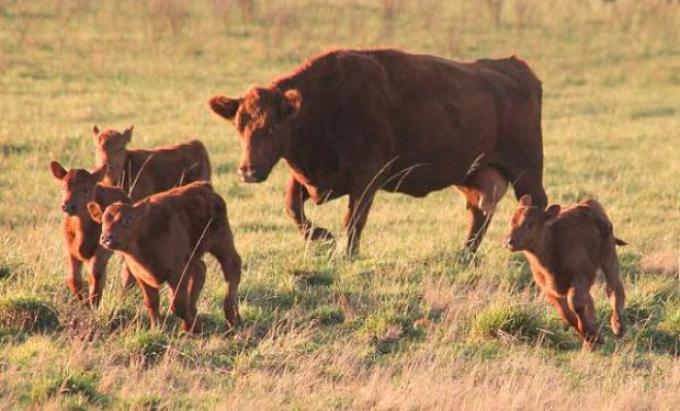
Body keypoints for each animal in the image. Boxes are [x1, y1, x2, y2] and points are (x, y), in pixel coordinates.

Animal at [49, 161, 134, 306]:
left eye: (86, 189)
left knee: (127, 274)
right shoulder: (69, 249)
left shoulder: (102, 248)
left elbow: (95, 273)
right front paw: (83, 300)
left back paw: (122, 298)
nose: (67, 206)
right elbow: (73, 277)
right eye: (63, 187)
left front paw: (93, 302)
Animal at [87, 182, 242, 334]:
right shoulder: (142, 277)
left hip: (221, 243)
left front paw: (193, 328)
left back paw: (232, 318)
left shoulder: (177, 273)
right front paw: (157, 328)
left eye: (128, 219)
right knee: (200, 270)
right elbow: (152, 302)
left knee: (232, 267)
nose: (106, 238)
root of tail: (204, 187)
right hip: (194, 256)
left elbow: (177, 305)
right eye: (102, 220)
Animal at [207, 47, 548, 254]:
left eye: (273, 127)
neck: (321, 106)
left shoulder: (366, 178)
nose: (248, 171)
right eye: (239, 126)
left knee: (536, 203)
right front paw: (323, 237)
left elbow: (353, 220)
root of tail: (515, 67)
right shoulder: (309, 177)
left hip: (526, 170)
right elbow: (293, 207)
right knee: (480, 212)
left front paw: (346, 252)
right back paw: (464, 254)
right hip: (472, 174)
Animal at [504, 195, 628, 350]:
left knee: (614, 288)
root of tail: (588, 203)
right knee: (591, 301)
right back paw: (590, 343)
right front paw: (591, 337)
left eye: (530, 224)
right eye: (511, 221)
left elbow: (575, 304)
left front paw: (594, 336)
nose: (509, 241)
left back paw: (618, 326)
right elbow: (567, 314)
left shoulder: (581, 276)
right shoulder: (548, 289)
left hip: (609, 257)